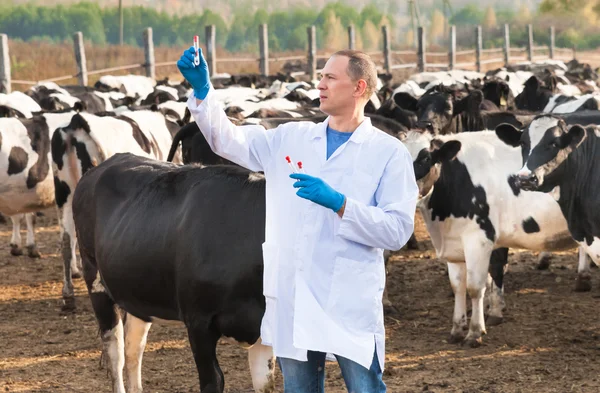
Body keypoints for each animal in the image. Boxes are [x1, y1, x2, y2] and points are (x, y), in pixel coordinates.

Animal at [73, 152, 276, 392]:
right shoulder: (198, 321)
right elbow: (213, 380)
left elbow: (265, 384)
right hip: (95, 279)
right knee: (115, 352)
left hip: (138, 290)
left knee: (133, 348)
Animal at [404, 129, 580, 346]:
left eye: (426, 158)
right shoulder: (455, 245)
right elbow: (457, 286)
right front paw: (457, 329)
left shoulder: (479, 240)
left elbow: (475, 287)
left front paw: (475, 332)